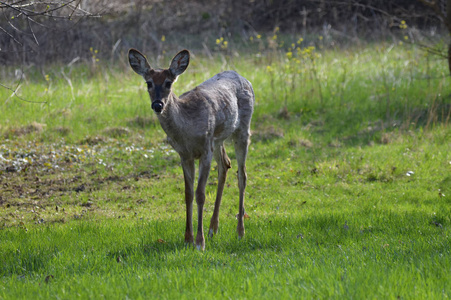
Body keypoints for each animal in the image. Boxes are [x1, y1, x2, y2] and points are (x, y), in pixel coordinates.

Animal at [128, 48, 254, 251]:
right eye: (148, 83)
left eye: (168, 82)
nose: (157, 104)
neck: (186, 130)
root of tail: (242, 77)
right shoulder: (184, 154)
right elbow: (188, 194)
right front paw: (188, 238)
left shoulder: (204, 149)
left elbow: (200, 194)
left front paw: (199, 242)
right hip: (218, 139)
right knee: (225, 164)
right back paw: (213, 228)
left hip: (242, 129)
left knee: (242, 174)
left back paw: (240, 231)